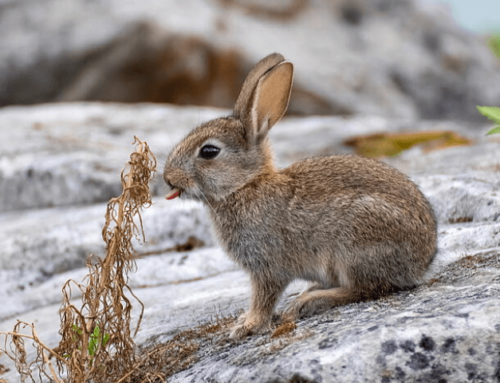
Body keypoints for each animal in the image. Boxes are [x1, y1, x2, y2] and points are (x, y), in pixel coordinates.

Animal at [164, 51, 438, 340]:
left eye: (209, 152)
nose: (168, 178)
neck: (246, 185)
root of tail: (422, 263)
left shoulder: (268, 265)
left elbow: (264, 297)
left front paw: (247, 326)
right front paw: (244, 321)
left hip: (355, 242)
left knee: (366, 288)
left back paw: (309, 301)